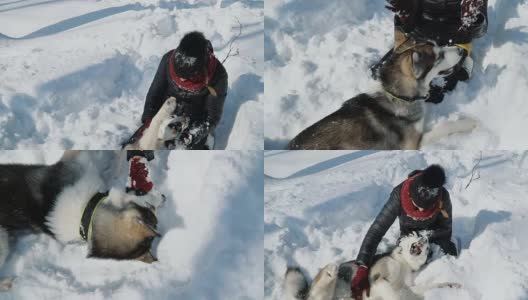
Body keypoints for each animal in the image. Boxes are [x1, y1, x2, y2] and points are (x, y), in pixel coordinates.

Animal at [282, 233, 460, 298]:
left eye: (428, 247)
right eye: (416, 234)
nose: (426, 238)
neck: (403, 263)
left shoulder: (410, 287)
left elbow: (433, 285)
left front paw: (453, 285)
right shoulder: (378, 280)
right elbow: (393, 294)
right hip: (323, 288)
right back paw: (331, 271)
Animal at [288, 40, 478, 150]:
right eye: (439, 57)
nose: (462, 51)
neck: (397, 96)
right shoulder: (411, 145)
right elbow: (445, 126)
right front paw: (470, 123)